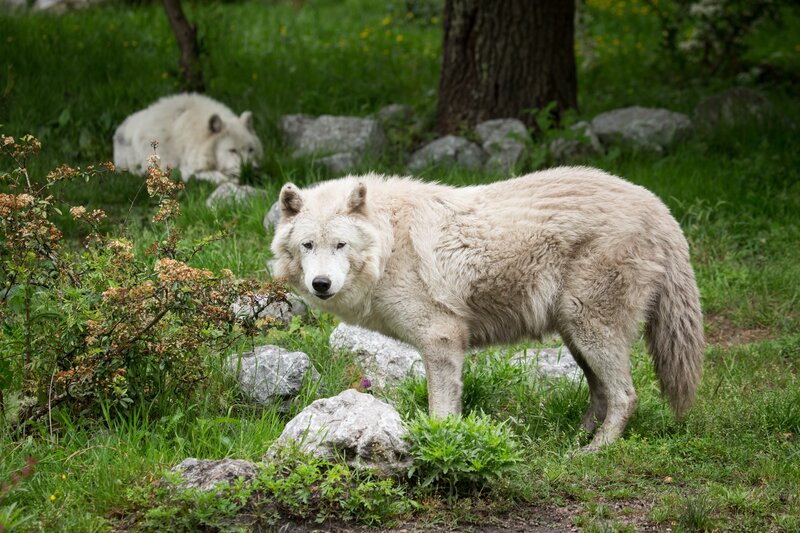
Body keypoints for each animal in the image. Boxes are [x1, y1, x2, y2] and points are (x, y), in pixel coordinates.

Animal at [270, 167, 704, 450]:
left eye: (340, 245)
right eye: (308, 245)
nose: (321, 284)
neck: (389, 243)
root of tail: (659, 207)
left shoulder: (442, 339)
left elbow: (442, 411)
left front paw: (440, 446)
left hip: (590, 328)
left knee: (626, 396)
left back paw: (595, 450)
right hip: (575, 334)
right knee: (601, 393)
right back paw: (574, 438)